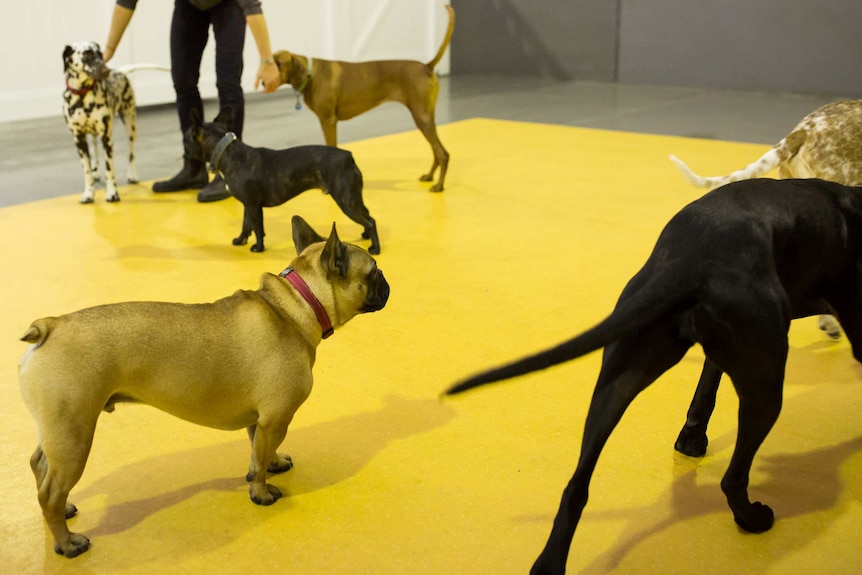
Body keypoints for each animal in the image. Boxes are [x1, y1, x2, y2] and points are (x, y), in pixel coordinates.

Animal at [18, 216, 390, 560]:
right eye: (373, 271)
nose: (386, 279)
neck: (298, 303)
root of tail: (51, 326)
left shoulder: (262, 420)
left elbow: (259, 450)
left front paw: (272, 464)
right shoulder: (276, 418)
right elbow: (260, 457)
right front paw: (261, 493)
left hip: (59, 432)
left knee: (40, 465)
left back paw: (63, 513)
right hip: (74, 438)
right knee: (51, 492)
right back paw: (67, 542)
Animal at [63, 41, 168, 202]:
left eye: (100, 53)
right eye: (87, 54)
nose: (106, 70)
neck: (82, 98)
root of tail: (119, 72)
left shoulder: (106, 138)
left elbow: (110, 169)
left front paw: (112, 193)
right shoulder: (79, 140)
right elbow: (86, 171)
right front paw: (88, 193)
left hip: (130, 126)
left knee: (130, 154)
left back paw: (132, 175)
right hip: (93, 135)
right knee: (94, 149)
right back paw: (95, 170)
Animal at [186, 106, 382, 254]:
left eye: (186, 139)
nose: (184, 152)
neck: (227, 153)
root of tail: (348, 157)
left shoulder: (253, 206)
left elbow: (257, 227)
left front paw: (258, 247)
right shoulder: (248, 205)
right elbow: (246, 225)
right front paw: (240, 240)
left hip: (346, 201)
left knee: (370, 220)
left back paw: (375, 248)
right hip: (353, 198)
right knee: (367, 214)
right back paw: (365, 235)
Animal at [448, 178, 862, 572]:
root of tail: (693, 258)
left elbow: (705, 388)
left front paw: (692, 438)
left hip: (619, 379)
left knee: (576, 486)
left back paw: (550, 564)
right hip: (766, 384)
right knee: (733, 477)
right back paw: (752, 519)